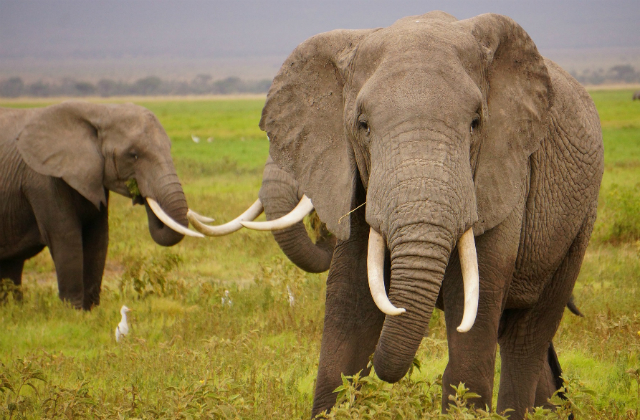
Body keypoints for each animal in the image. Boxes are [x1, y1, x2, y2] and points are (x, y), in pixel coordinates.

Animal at [0, 100, 202, 310]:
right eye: (133, 155)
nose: (141, 194)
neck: (100, 110)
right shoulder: (43, 180)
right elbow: (66, 237)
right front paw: (72, 312)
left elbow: (98, 237)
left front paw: (91, 310)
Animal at [251, 11, 604, 418]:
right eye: (362, 125)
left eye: (476, 123)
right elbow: (350, 304)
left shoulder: (505, 170)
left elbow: (474, 306)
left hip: (581, 220)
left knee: (527, 337)